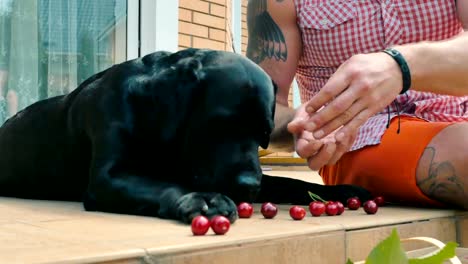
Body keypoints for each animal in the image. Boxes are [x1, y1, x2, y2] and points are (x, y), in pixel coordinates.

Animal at [0, 49, 370, 223]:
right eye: (217, 125)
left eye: (263, 133)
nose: (250, 185)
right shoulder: (108, 177)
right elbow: (161, 184)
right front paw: (202, 199)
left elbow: (293, 182)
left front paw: (344, 190)